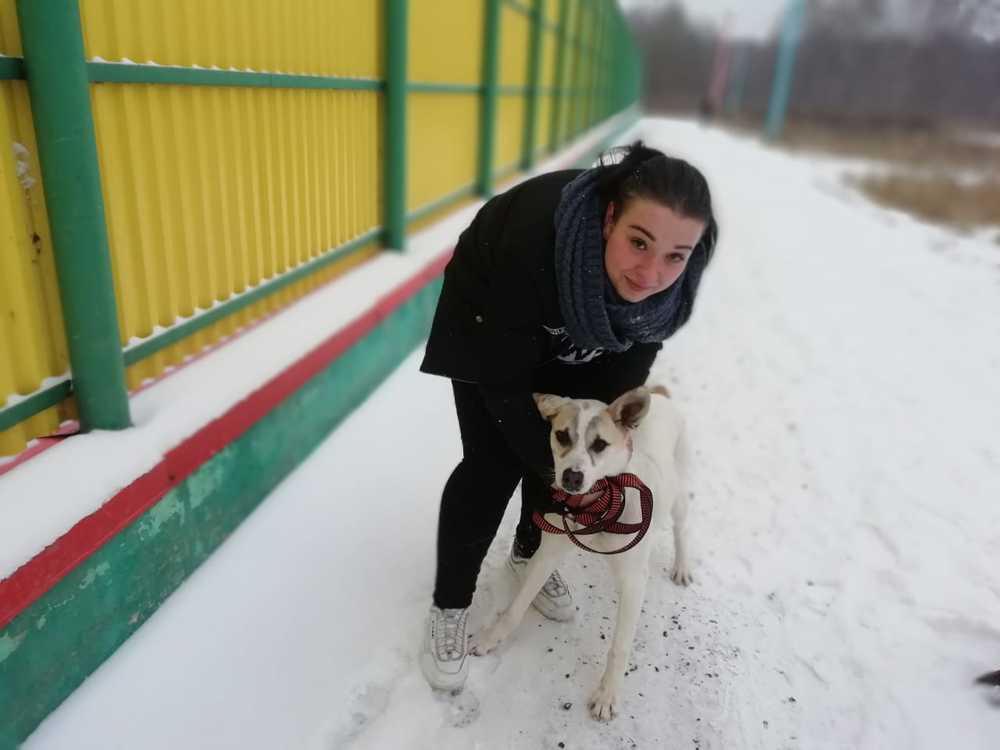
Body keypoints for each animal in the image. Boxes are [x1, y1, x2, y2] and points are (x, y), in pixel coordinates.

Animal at [470, 388, 692, 724]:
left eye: (599, 444)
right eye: (562, 435)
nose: (571, 477)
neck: (599, 508)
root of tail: (658, 394)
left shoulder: (633, 580)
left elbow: (619, 647)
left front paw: (607, 695)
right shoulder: (547, 553)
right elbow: (514, 608)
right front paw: (490, 638)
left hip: (678, 491)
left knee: (681, 527)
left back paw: (682, 566)